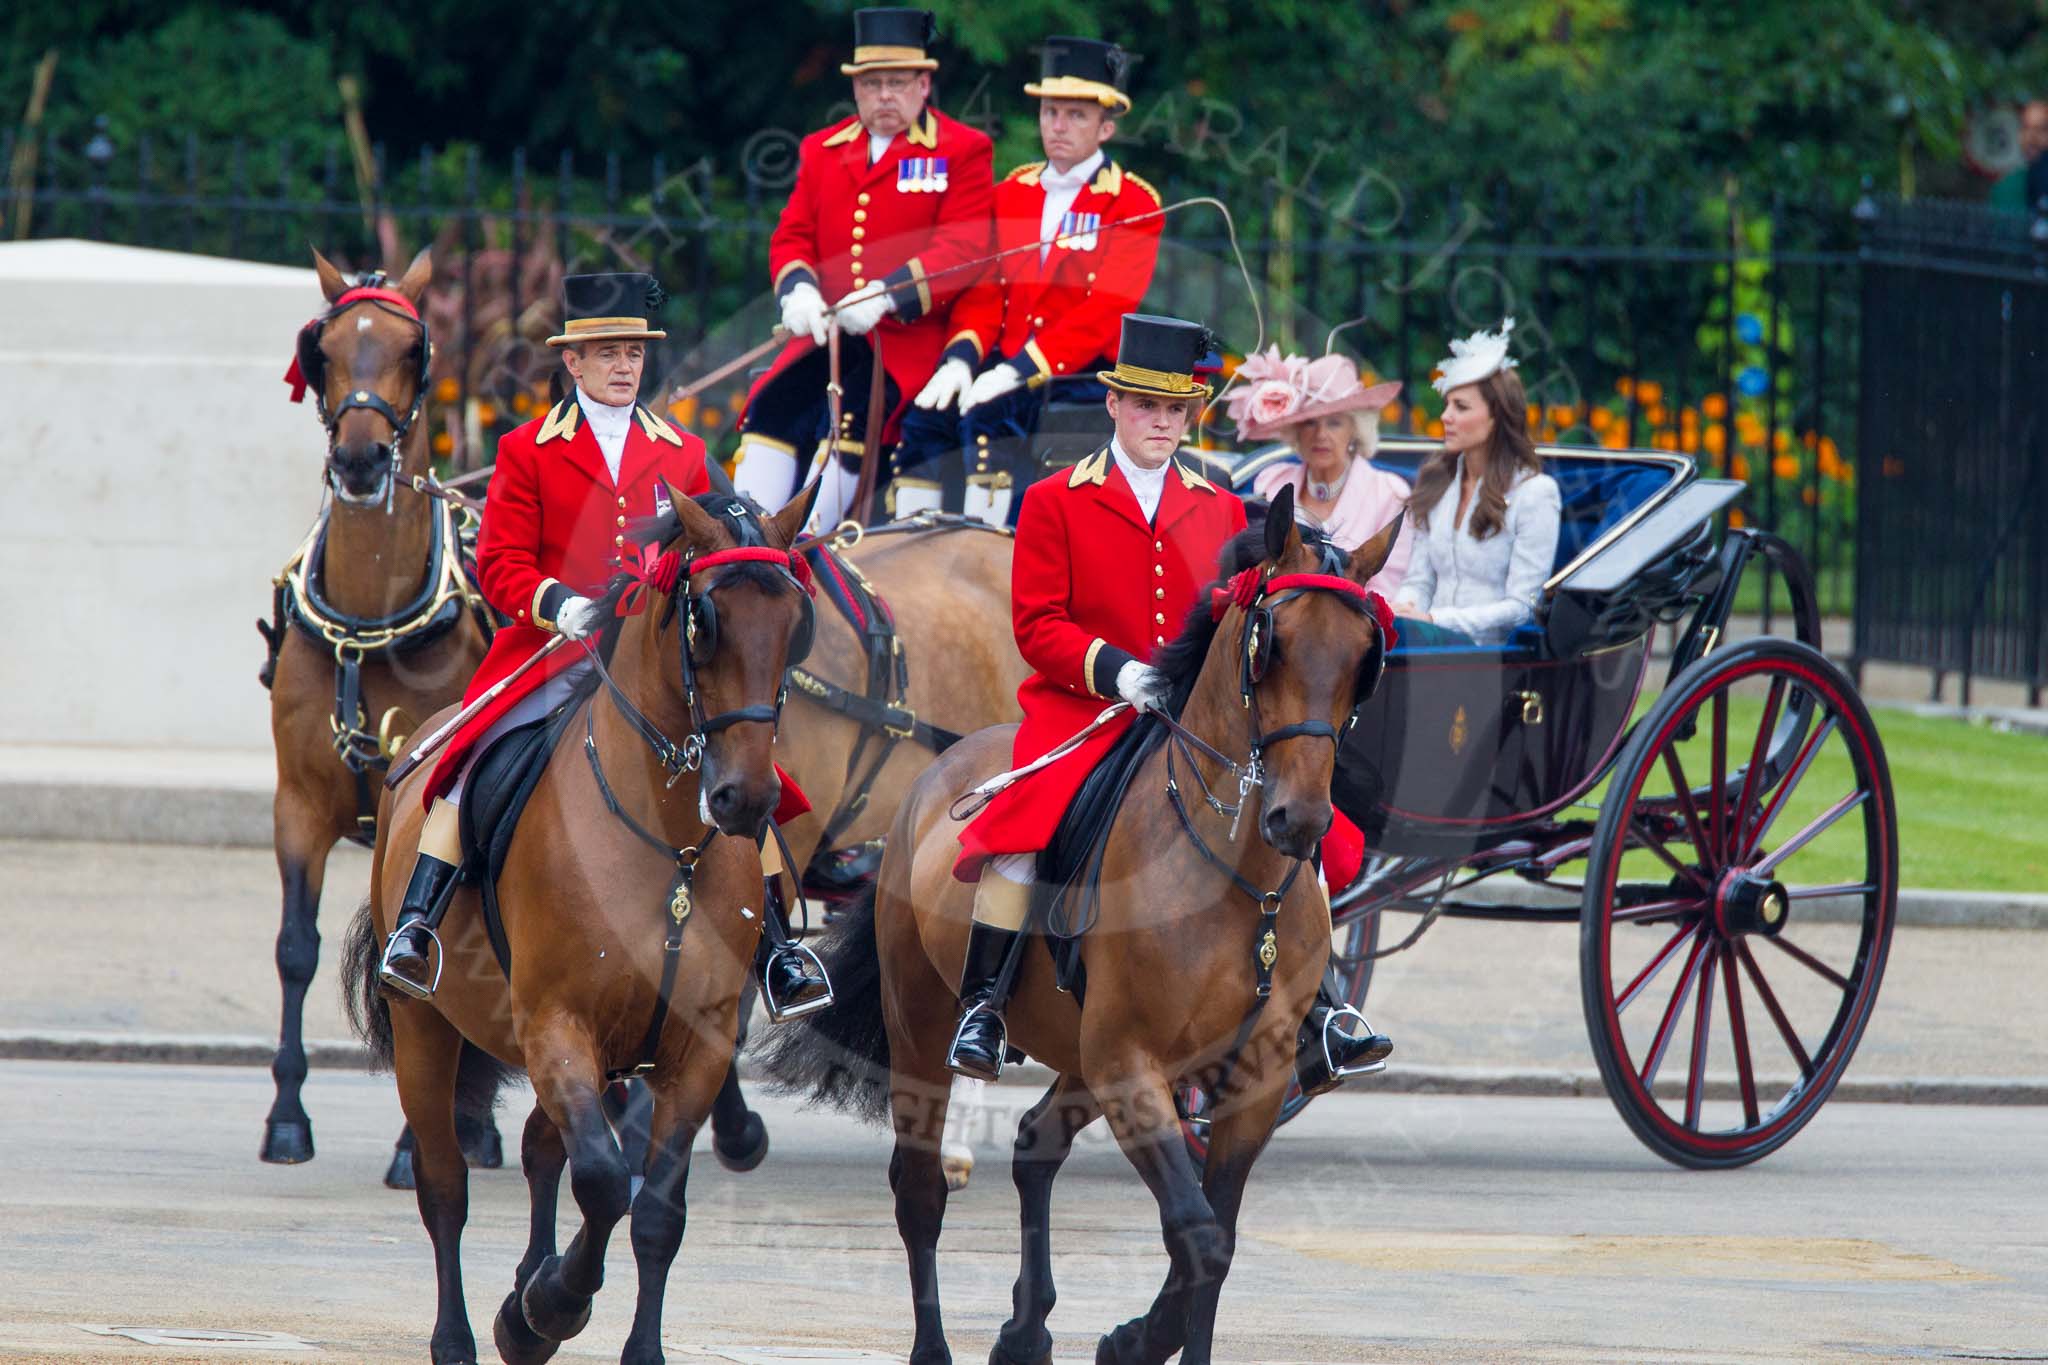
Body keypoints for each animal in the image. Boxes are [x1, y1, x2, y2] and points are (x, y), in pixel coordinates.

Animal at [260, 245, 499, 1162]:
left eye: (411, 348)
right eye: (323, 349)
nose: (361, 462)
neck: (369, 626)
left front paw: (414, 1141)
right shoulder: (297, 806)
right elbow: (296, 949)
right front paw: (287, 1113)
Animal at [344, 485, 815, 1358]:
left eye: (794, 618)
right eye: (704, 618)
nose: (746, 798)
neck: (670, 846)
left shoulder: (698, 1047)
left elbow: (654, 1209)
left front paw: (599, 1327)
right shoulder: (556, 1025)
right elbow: (601, 1181)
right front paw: (550, 1306)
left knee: (539, 1148)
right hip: (427, 1030)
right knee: (445, 1184)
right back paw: (462, 1331)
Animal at [761, 493, 1400, 1365]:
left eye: (1365, 654)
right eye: (1272, 641)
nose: (1298, 821)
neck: (1236, 881)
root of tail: (941, 767)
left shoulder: (1252, 1078)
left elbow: (1220, 1239)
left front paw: (1141, 1338)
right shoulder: (1128, 1063)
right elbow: (1198, 1233)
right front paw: (1136, 1338)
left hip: (1079, 1049)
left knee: (1036, 1141)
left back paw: (1026, 1328)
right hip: (927, 1026)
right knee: (919, 1189)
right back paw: (941, 1340)